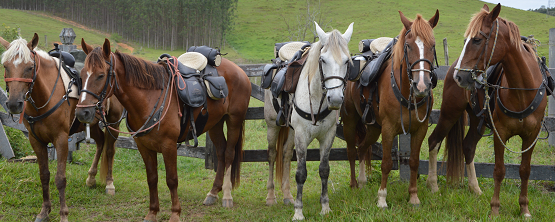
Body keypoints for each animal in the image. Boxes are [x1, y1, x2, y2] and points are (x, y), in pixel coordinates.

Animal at [0, 33, 122, 221]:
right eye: (6, 66)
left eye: (29, 67)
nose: (14, 104)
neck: (45, 98)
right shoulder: (36, 141)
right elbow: (44, 175)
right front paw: (44, 211)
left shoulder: (62, 139)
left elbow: (60, 178)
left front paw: (63, 214)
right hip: (91, 122)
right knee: (101, 142)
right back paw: (91, 178)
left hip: (114, 122)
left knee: (109, 149)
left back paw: (109, 183)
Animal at [76, 39, 252, 221]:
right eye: (82, 74)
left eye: (100, 75)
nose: (82, 113)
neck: (149, 99)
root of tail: (239, 71)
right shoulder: (143, 146)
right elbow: (152, 178)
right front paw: (152, 212)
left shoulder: (169, 146)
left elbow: (172, 180)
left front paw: (175, 213)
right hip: (215, 124)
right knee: (221, 152)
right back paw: (213, 193)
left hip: (234, 120)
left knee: (230, 154)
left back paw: (227, 196)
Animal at [264, 22, 352, 220]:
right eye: (323, 60)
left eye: (346, 61)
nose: (336, 99)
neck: (317, 97)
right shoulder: (302, 136)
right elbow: (301, 173)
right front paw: (298, 211)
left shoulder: (328, 135)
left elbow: (324, 170)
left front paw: (325, 208)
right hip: (272, 126)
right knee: (272, 155)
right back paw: (271, 196)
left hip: (290, 131)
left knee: (286, 154)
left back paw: (287, 195)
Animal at [340, 10, 440, 208]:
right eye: (408, 46)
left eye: (432, 45)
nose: (422, 86)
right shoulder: (388, 129)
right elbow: (386, 163)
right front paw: (382, 198)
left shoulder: (420, 129)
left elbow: (414, 161)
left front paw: (413, 197)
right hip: (350, 123)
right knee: (351, 151)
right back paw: (354, 185)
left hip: (373, 128)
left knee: (362, 148)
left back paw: (362, 182)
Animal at [430, 3, 548, 219]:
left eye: (477, 39)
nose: (460, 77)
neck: (522, 90)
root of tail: (451, 67)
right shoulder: (500, 133)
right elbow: (499, 170)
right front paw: (495, 209)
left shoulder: (531, 136)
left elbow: (525, 170)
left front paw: (524, 209)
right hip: (449, 113)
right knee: (434, 141)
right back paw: (433, 186)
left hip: (479, 121)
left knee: (468, 146)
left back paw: (475, 189)